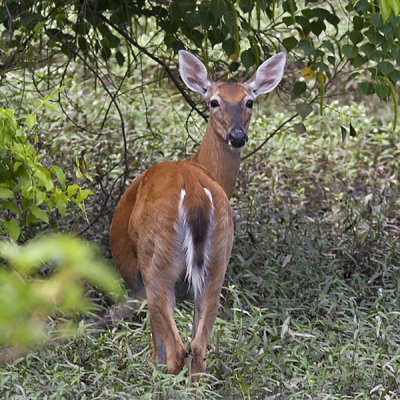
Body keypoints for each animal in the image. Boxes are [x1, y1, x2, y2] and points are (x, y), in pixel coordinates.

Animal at [108, 48, 284, 380]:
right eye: (213, 101)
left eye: (249, 101)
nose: (237, 136)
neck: (200, 164)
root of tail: (193, 194)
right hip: (218, 262)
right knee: (199, 350)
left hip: (157, 263)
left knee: (175, 350)